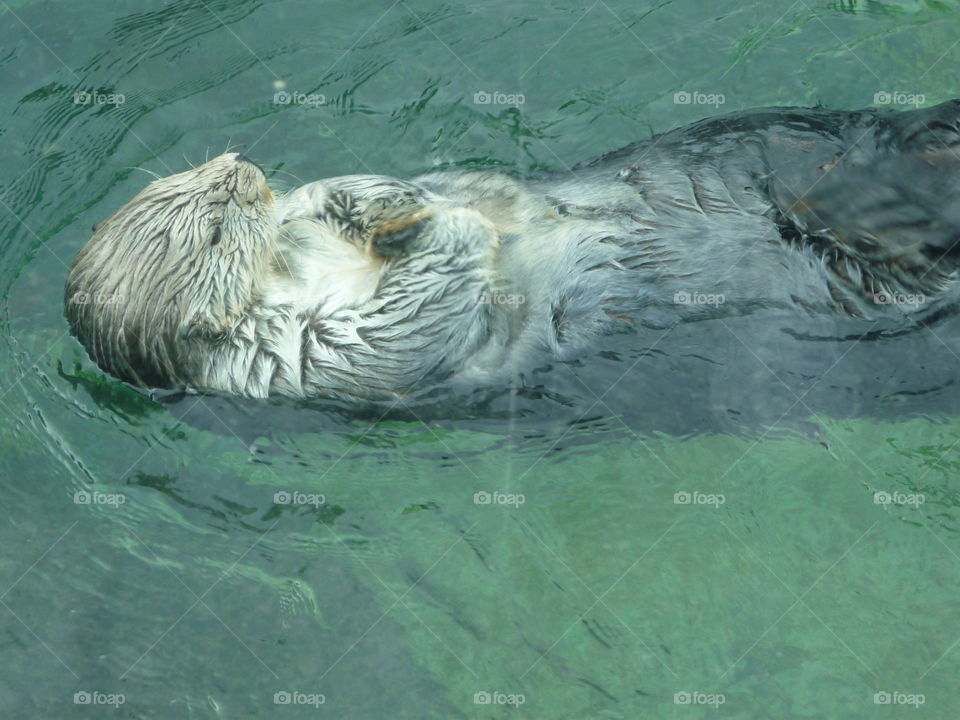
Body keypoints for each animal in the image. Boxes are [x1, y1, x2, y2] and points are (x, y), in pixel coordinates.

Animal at [66, 100, 960, 402]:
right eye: (217, 229)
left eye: (197, 173)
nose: (245, 168)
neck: (295, 276)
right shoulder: (310, 359)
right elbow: (418, 312)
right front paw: (412, 224)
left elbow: (467, 191)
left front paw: (351, 199)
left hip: (777, 145)